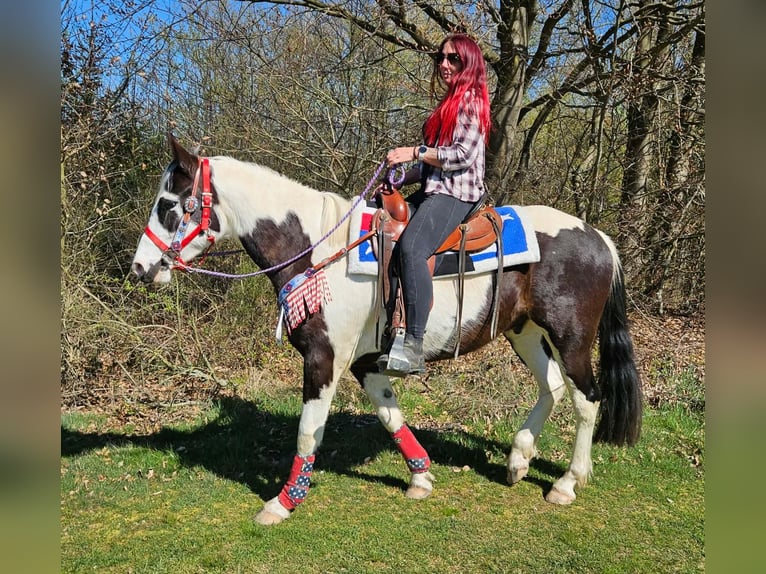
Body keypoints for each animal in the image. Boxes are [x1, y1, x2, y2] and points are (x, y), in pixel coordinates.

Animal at [131, 135, 642, 525]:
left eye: (169, 205)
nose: (139, 268)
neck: (318, 250)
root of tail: (598, 237)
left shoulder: (324, 358)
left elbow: (308, 432)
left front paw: (282, 502)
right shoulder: (365, 363)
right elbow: (389, 415)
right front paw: (420, 477)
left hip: (571, 337)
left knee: (586, 400)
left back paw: (567, 483)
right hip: (525, 332)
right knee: (551, 387)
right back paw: (518, 459)